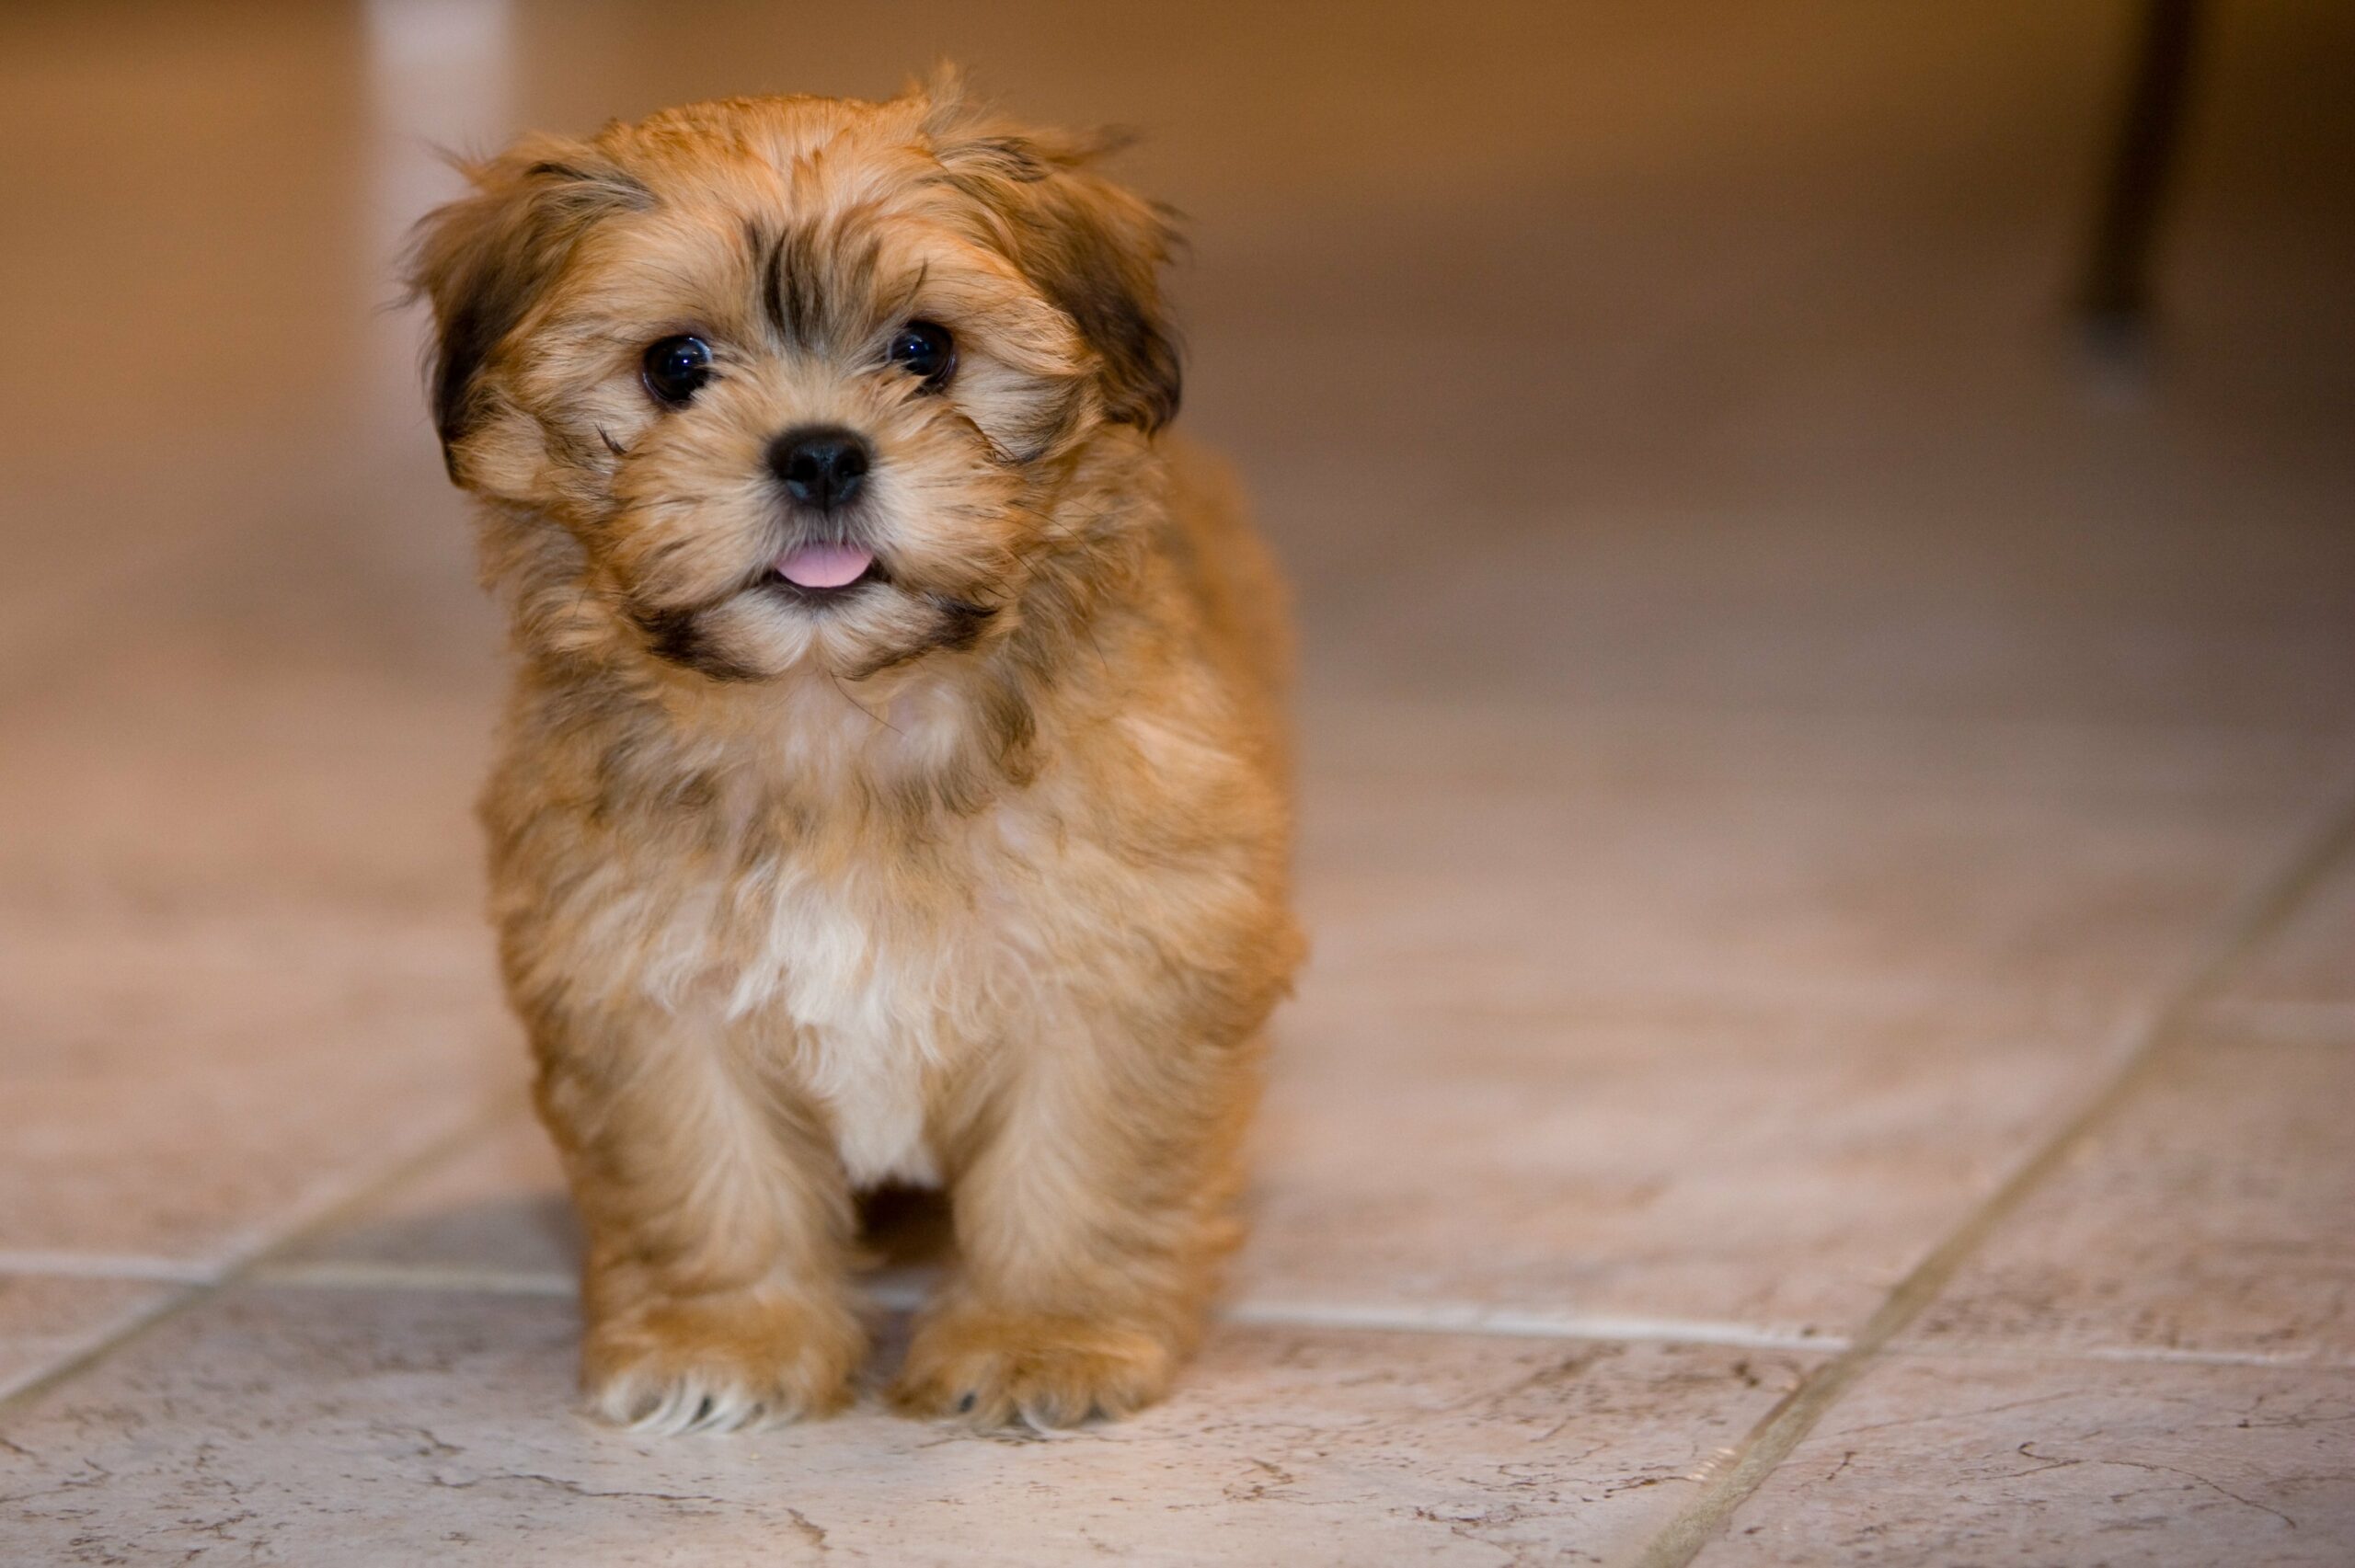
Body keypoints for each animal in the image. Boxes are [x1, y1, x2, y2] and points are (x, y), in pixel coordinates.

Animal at [396, 79, 1300, 1431]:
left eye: (925, 350)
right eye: (676, 366)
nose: (819, 452)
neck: (832, 722)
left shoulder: (1124, 959)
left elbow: (1071, 1171)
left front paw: (1042, 1340)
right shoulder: (641, 980)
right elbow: (708, 1176)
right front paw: (723, 1342)